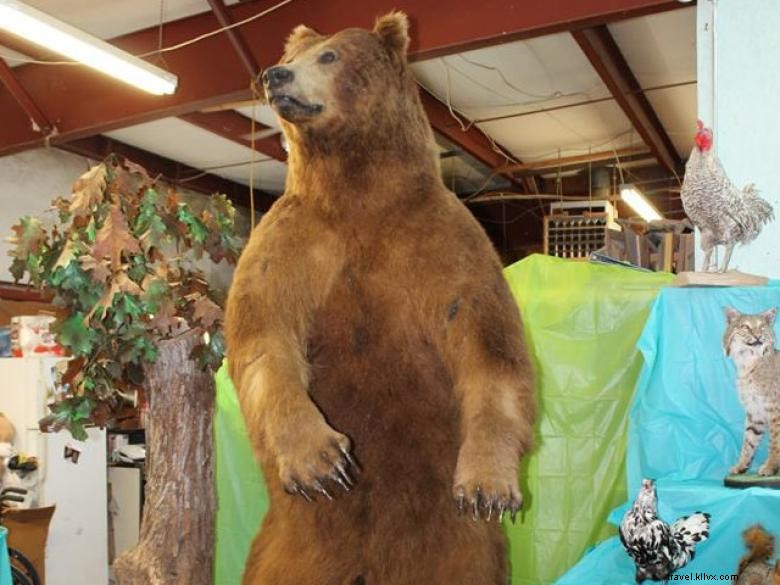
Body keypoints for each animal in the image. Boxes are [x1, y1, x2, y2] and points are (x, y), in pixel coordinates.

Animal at [222, 10, 532, 584]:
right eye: (292, 55)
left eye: (329, 56)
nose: (275, 75)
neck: (356, 188)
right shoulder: (292, 242)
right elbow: (263, 336)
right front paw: (323, 463)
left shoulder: (442, 241)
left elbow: (488, 344)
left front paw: (488, 487)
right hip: (296, 544)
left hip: (449, 542)